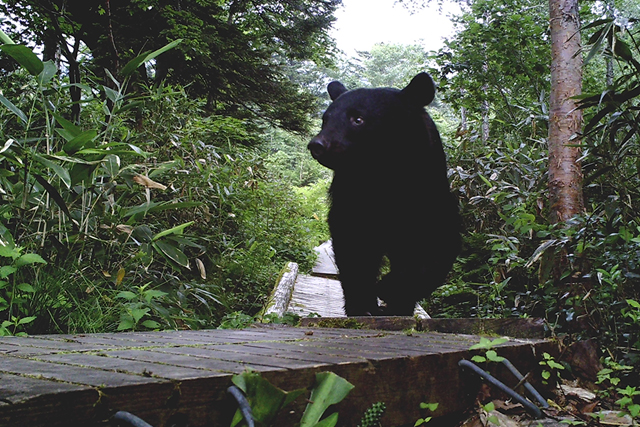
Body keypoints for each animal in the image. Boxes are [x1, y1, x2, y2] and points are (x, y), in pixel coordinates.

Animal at [306, 71, 460, 318]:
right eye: (325, 119)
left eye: (358, 119)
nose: (318, 145)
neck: (383, 174)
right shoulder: (352, 193)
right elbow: (353, 244)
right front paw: (362, 305)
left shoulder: (428, 194)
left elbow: (437, 246)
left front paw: (390, 289)